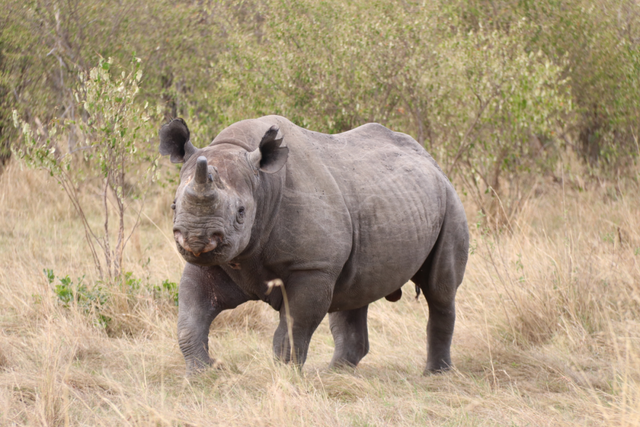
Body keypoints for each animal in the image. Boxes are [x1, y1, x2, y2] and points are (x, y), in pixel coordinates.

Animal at [159, 116, 470, 374]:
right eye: (174, 205)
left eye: (241, 212)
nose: (196, 239)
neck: (262, 184)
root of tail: (431, 160)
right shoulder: (214, 262)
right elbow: (190, 318)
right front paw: (203, 373)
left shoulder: (313, 267)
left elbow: (292, 330)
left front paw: (284, 378)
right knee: (353, 293)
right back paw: (336, 373)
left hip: (451, 200)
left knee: (440, 292)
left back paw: (436, 374)